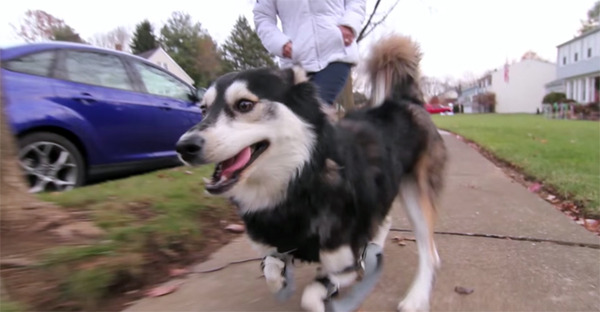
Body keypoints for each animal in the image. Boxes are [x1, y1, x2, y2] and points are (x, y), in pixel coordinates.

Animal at [176, 34, 448, 312]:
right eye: (203, 109)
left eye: (244, 104)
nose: (184, 147)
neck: (299, 182)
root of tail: (406, 102)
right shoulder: (277, 248)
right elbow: (272, 270)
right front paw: (283, 280)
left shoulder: (345, 260)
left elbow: (311, 296)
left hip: (417, 195)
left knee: (429, 251)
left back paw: (416, 296)